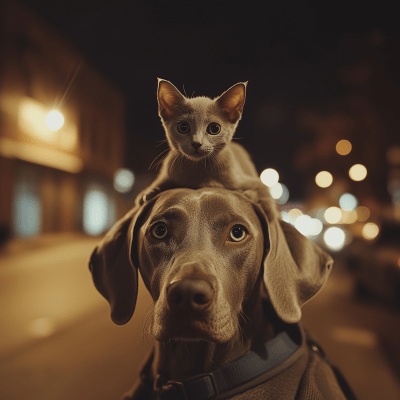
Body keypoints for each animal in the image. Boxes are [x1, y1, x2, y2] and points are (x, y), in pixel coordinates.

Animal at [141, 79, 282, 222]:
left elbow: (265, 193)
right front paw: (150, 192)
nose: (196, 143)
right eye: (183, 127)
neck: (198, 173)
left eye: (214, 128)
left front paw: (270, 214)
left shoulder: (250, 181)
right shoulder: (167, 173)